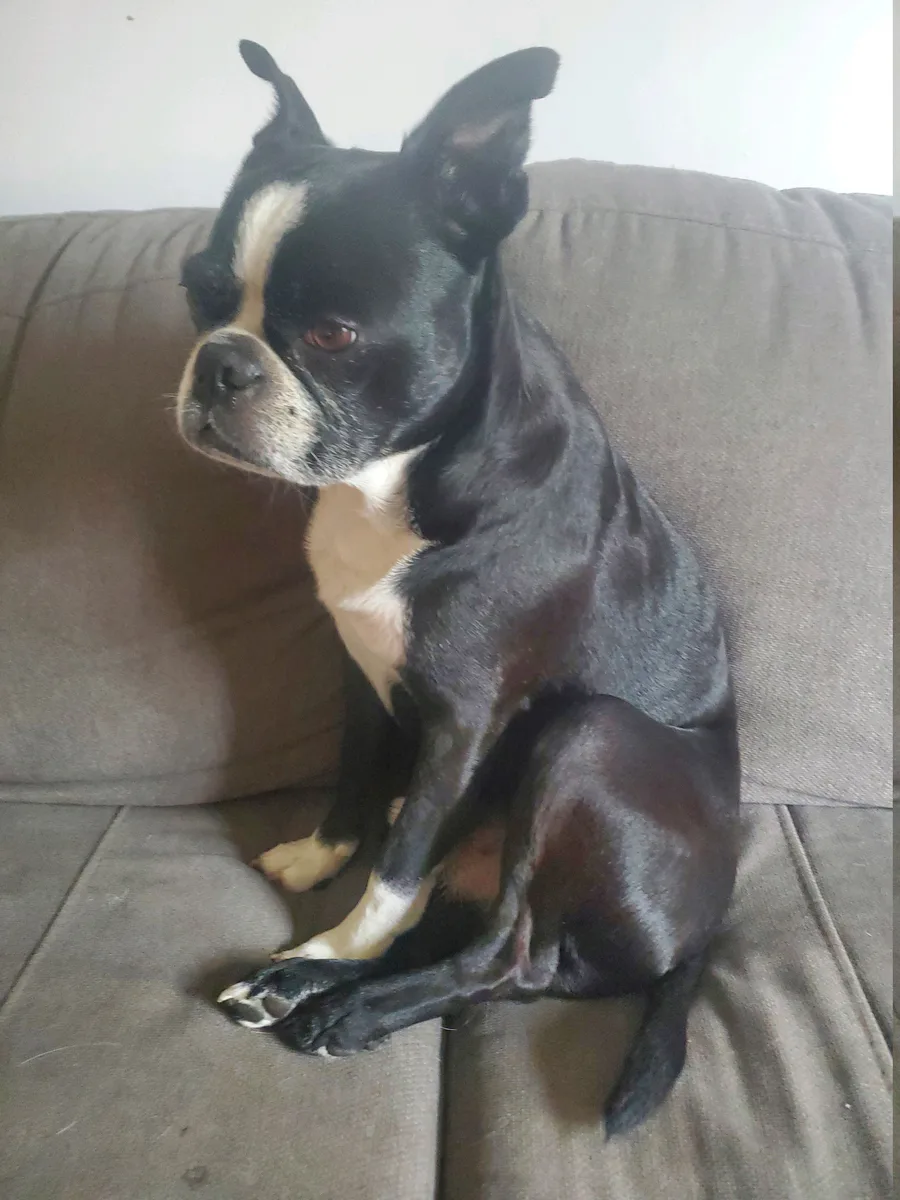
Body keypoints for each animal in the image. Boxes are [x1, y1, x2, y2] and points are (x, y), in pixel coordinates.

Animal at [176, 41, 740, 1136]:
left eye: (335, 336)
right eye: (200, 291)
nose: (220, 362)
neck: (393, 480)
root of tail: (704, 933)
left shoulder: (463, 724)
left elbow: (397, 868)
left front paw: (340, 932)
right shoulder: (359, 669)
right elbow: (358, 785)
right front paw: (318, 859)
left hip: (591, 735)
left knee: (505, 957)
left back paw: (331, 994)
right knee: (479, 943)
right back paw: (297, 985)